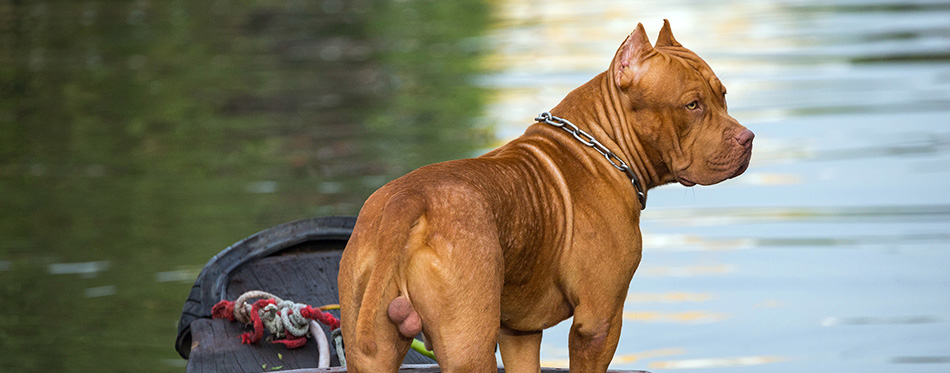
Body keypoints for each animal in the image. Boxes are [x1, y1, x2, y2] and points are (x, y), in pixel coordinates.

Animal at [338, 21, 756, 372]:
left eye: (723, 96)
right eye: (692, 105)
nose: (748, 138)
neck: (604, 148)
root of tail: (408, 200)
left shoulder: (519, 334)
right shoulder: (598, 323)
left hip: (370, 347)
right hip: (468, 346)